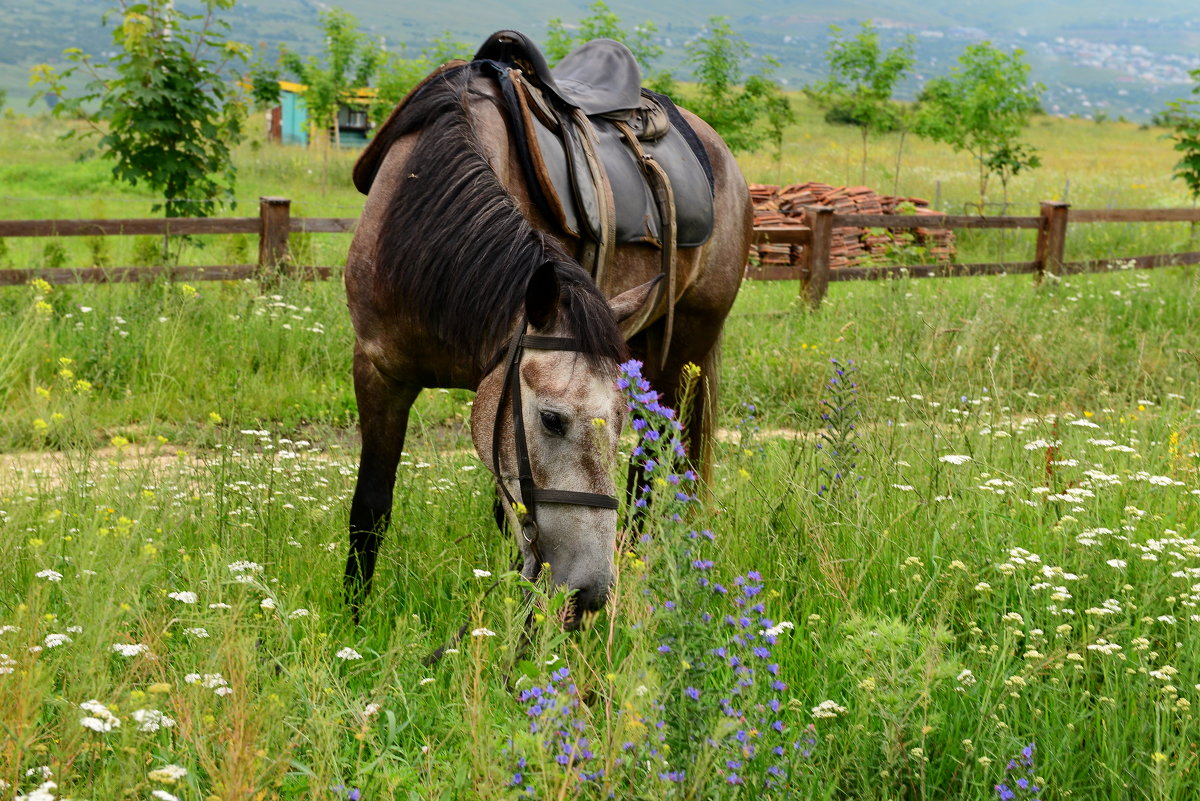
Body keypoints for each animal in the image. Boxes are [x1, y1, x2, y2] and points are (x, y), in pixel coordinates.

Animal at [340, 40, 748, 623]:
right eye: (552, 420)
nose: (590, 589)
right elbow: (371, 509)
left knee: (650, 465)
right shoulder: (379, 372)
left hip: (685, 343)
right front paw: (352, 623)